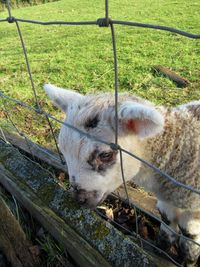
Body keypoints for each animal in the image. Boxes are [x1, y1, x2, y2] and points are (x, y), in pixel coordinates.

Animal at [44, 83, 200, 266]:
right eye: (63, 151)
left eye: (105, 155)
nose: (79, 199)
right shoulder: (167, 199)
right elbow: (167, 220)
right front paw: (161, 248)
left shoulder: (193, 207)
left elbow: (189, 234)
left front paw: (189, 260)